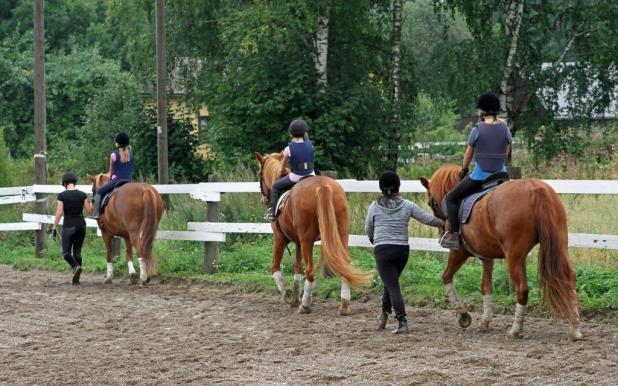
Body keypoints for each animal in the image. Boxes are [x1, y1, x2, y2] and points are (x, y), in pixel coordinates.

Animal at [254, 152, 368, 316]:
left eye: (260, 175)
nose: (264, 199)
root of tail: (322, 186)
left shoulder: (280, 239)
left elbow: (275, 266)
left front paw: (288, 294)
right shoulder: (298, 242)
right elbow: (297, 267)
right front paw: (295, 297)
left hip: (307, 240)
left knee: (310, 271)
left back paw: (305, 305)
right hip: (340, 236)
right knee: (344, 264)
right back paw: (344, 305)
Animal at [418, 166, 584, 340]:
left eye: (430, 202)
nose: (441, 228)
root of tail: (534, 188)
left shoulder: (459, 253)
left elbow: (446, 277)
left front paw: (463, 315)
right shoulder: (486, 256)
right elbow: (486, 287)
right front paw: (485, 321)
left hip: (513, 256)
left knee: (522, 289)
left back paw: (515, 330)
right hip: (557, 245)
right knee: (569, 278)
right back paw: (575, 327)